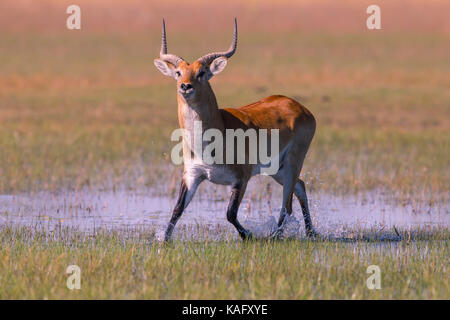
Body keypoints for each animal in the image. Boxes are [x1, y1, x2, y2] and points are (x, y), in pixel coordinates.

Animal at [155, 18, 316, 240]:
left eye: (202, 73)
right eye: (178, 72)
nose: (185, 86)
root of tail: (299, 107)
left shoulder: (242, 178)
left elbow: (230, 213)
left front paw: (248, 235)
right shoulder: (192, 175)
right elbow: (177, 209)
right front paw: (164, 240)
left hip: (293, 162)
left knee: (287, 204)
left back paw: (276, 235)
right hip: (276, 168)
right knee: (300, 187)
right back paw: (310, 232)